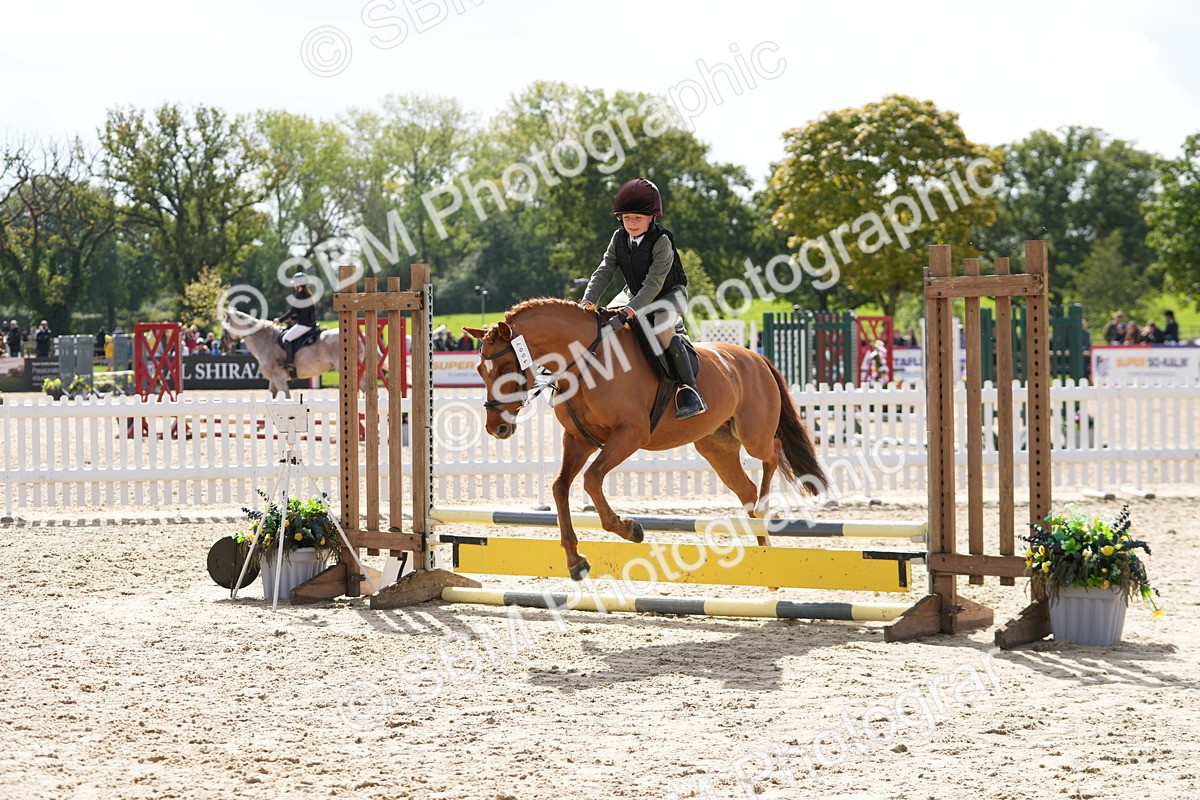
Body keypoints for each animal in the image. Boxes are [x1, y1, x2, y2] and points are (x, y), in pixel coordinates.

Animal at [464, 298, 829, 581]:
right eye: (480, 372)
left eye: (507, 369)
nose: (496, 428)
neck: (586, 361)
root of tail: (757, 358)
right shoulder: (578, 439)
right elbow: (560, 487)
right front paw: (576, 562)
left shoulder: (630, 433)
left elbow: (592, 479)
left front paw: (630, 529)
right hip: (716, 446)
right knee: (747, 492)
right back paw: (763, 547)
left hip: (753, 435)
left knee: (773, 452)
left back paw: (768, 510)